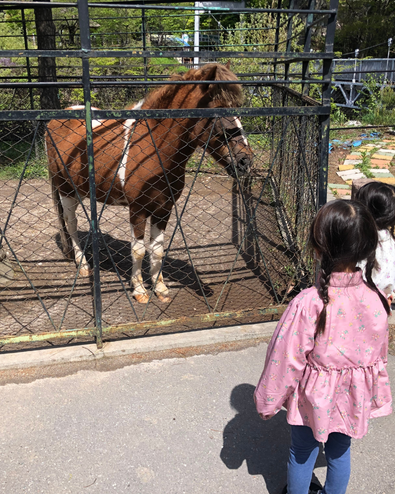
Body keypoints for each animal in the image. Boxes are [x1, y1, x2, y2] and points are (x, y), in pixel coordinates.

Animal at [45, 62, 254, 304]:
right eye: (218, 111)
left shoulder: (164, 209)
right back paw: (83, 265)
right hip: (66, 191)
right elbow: (138, 250)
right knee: (71, 224)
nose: (245, 161)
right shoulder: (137, 210)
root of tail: (56, 120)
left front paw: (160, 287)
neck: (154, 149)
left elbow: (157, 249)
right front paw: (139, 290)